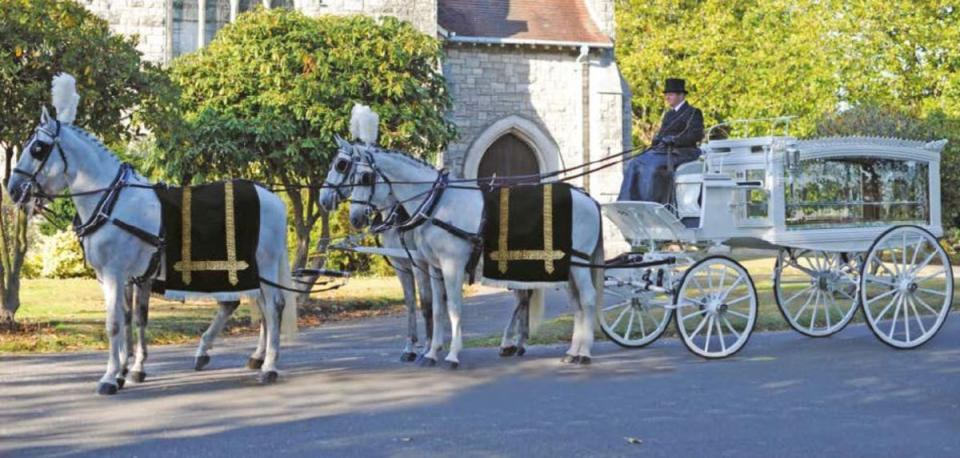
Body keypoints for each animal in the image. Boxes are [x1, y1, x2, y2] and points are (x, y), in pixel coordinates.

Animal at [6, 75, 296, 394]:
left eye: (38, 148)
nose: (14, 188)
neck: (112, 200)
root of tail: (272, 197)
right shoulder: (124, 276)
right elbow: (131, 319)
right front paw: (127, 370)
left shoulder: (116, 272)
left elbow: (115, 323)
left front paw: (110, 377)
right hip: (252, 270)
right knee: (257, 306)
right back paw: (250, 356)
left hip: (263, 264)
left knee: (273, 306)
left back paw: (268, 366)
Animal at [342, 145, 604, 366]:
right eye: (350, 175)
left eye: (365, 178)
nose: (355, 218)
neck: (438, 204)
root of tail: (589, 199)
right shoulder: (435, 267)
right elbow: (437, 309)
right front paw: (431, 353)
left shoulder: (451, 265)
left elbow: (454, 307)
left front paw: (452, 354)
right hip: (565, 266)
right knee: (575, 303)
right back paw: (571, 351)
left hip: (578, 263)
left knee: (588, 299)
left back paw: (583, 353)